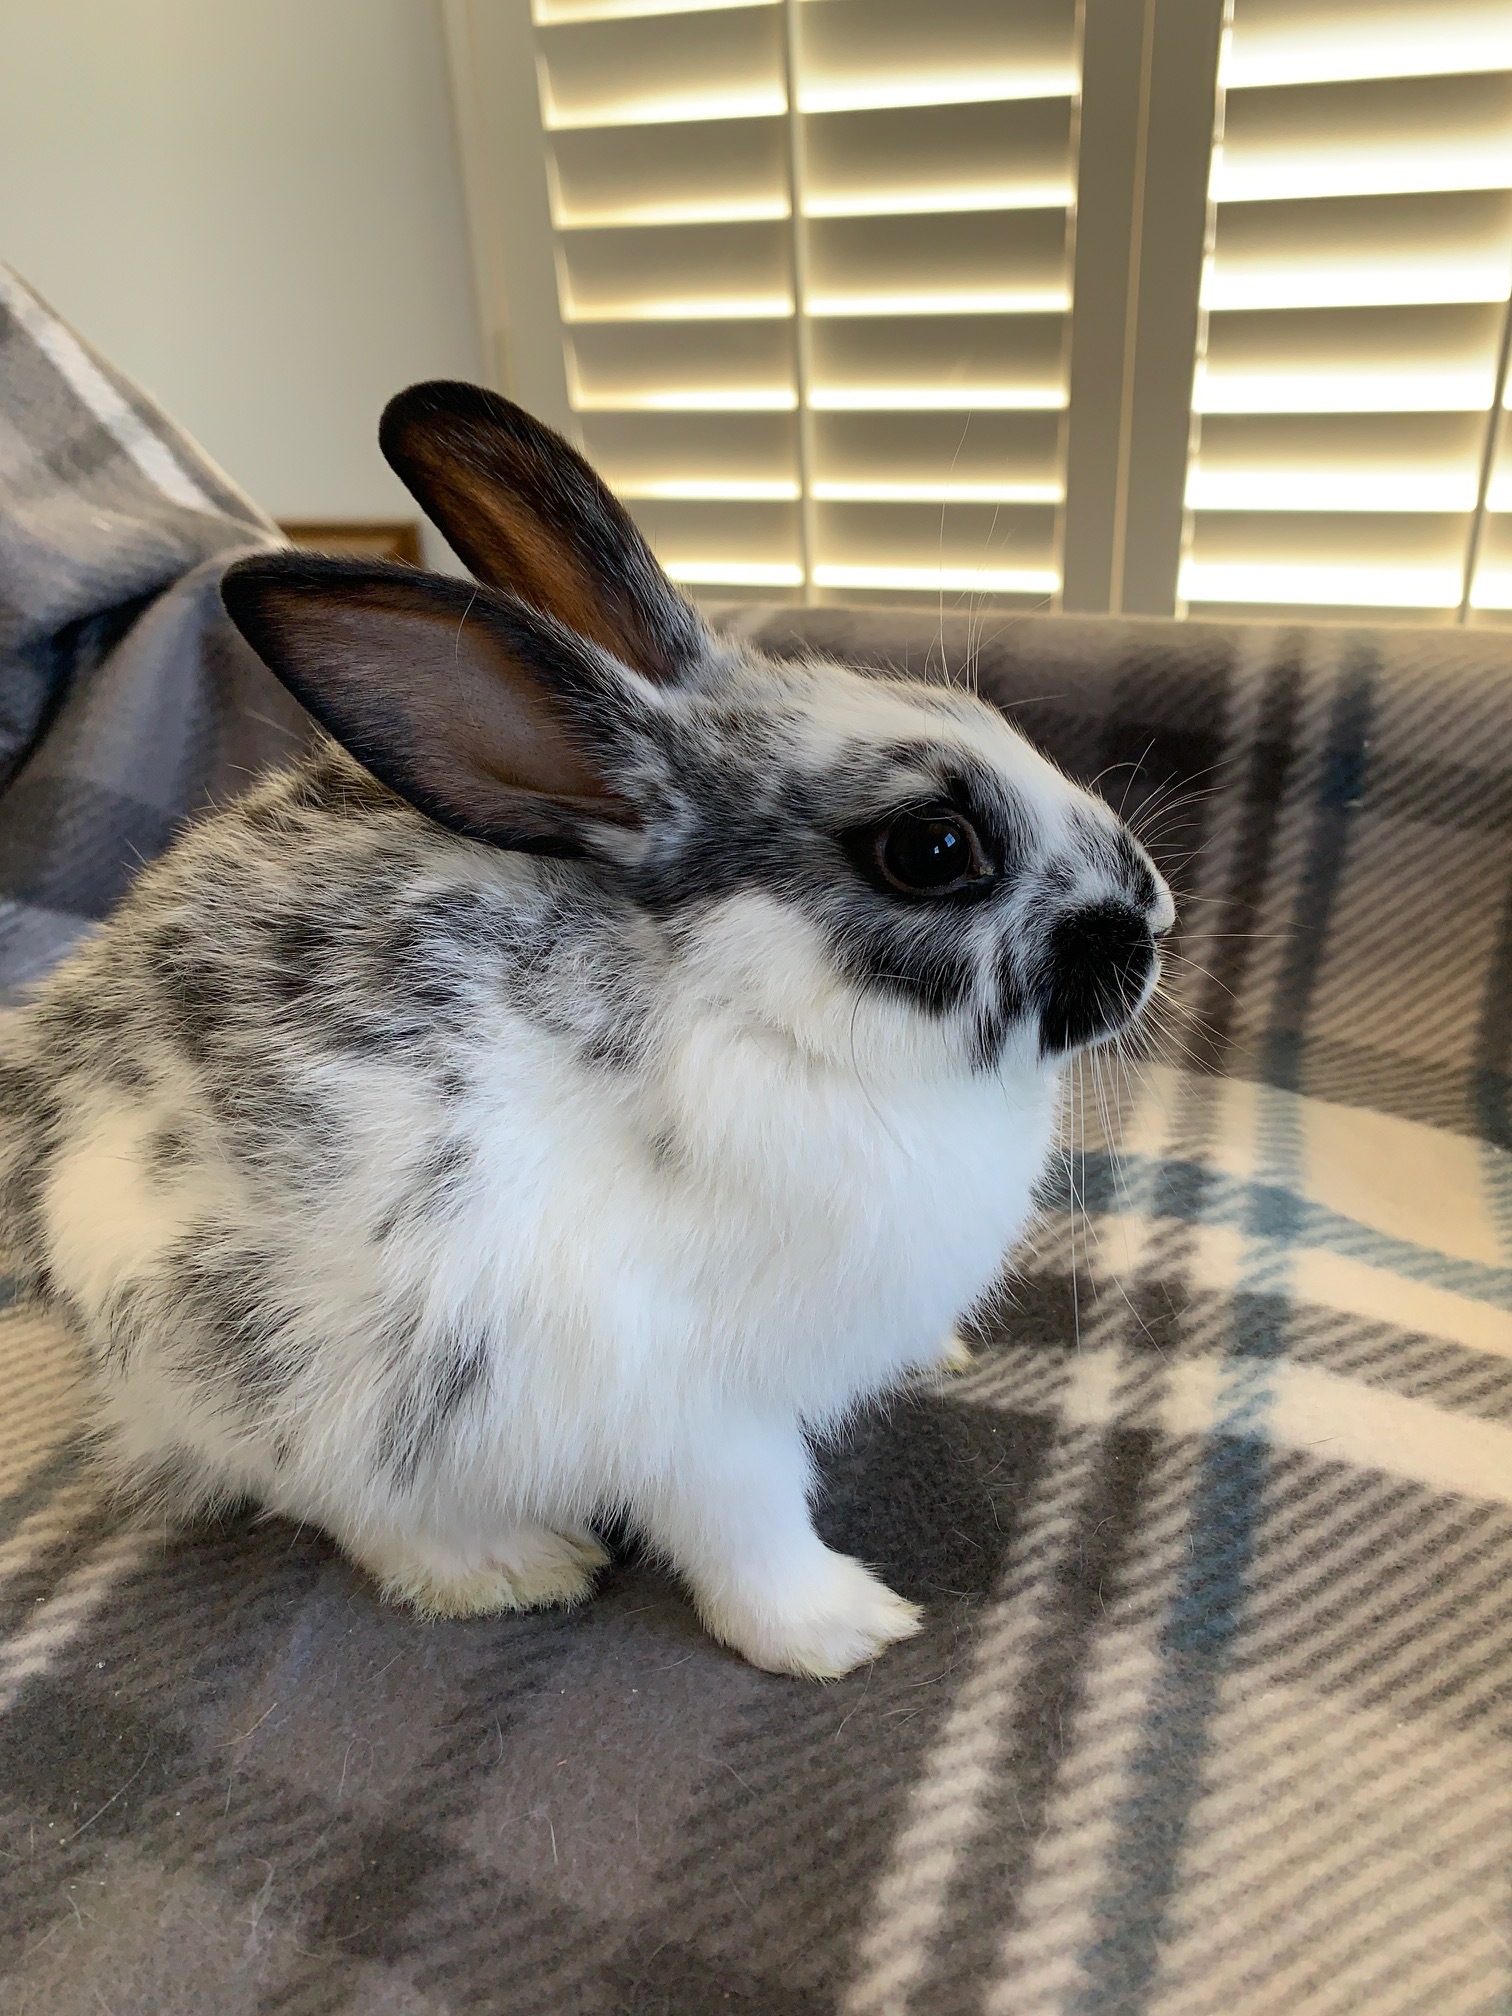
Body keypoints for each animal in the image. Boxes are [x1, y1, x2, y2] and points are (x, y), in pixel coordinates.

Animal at [0, 381, 1173, 1678]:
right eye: (932, 849)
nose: (1151, 921)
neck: (760, 1014)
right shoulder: (682, 1399)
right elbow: (747, 1521)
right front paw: (841, 1630)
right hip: (289, 1376)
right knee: (348, 1501)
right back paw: (512, 1565)